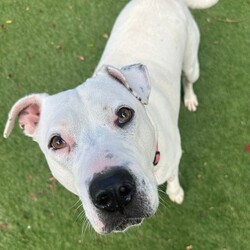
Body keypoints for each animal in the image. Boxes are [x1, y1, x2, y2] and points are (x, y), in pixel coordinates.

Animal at [4, 0, 218, 234]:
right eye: (57, 142)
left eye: (124, 114)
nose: (112, 190)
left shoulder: (175, 156)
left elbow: (173, 176)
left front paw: (176, 192)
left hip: (191, 62)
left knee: (188, 79)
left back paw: (189, 98)